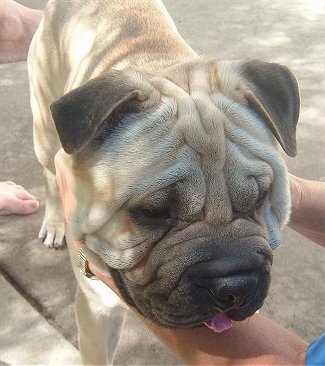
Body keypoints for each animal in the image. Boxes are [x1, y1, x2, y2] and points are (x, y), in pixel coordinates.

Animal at [27, 0, 298, 364]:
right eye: (153, 212)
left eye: (260, 197)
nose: (234, 285)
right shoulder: (96, 310)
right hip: (44, 131)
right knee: (47, 174)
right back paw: (54, 223)